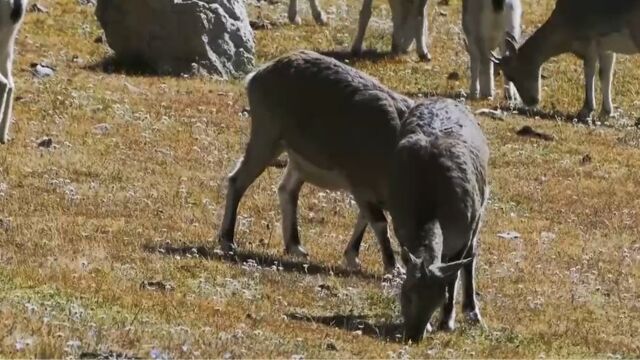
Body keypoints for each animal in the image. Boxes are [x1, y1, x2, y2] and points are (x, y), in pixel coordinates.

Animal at [218, 51, 488, 344]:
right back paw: (228, 240)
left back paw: (295, 246)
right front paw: (390, 266)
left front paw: (353, 256)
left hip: (295, 157)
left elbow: (367, 219)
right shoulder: (361, 183)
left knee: (286, 190)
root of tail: (258, 75)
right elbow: (377, 222)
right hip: (267, 136)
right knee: (238, 180)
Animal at [496, 0, 640, 119]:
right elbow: (605, 75)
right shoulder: (606, 48)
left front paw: (585, 111)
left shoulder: (589, 44)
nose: (531, 101)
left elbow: (589, 73)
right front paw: (605, 112)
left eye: (512, 75)